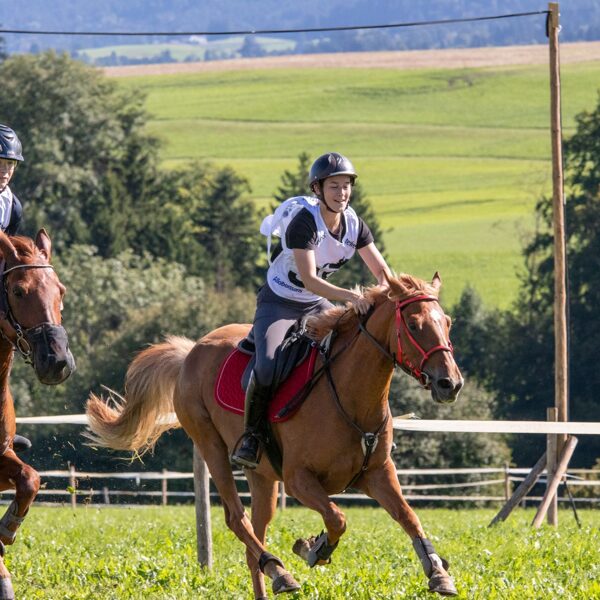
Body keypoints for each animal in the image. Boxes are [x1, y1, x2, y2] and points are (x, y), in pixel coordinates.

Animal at [86, 272, 463, 599]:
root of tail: (191, 352)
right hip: (211, 445)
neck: (351, 395)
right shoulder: (299, 480)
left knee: (255, 537)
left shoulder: (378, 474)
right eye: (413, 325)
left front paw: (438, 574)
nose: (451, 384)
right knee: (236, 520)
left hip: (263, 476)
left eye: (446, 323)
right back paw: (281, 572)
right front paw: (314, 549)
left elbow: (409, 517)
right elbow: (337, 518)